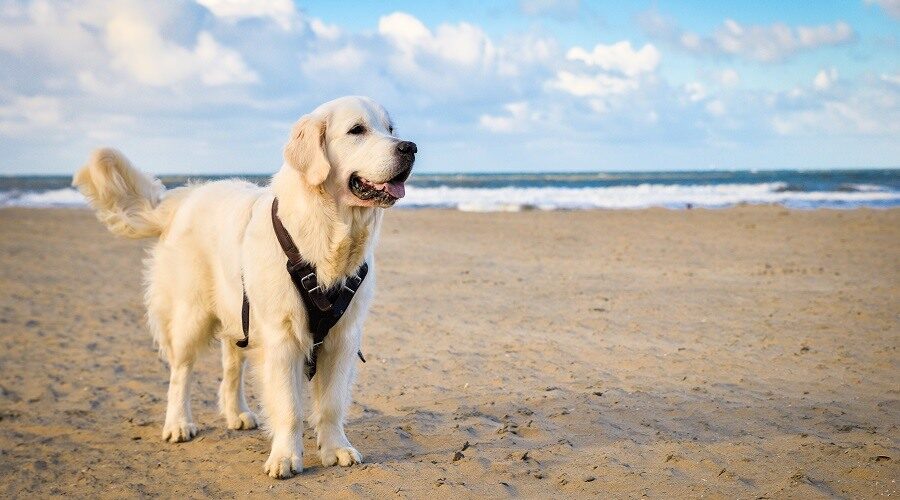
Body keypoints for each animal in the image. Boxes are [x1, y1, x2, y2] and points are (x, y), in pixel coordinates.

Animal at [72, 95, 416, 478]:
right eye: (357, 130)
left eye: (390, 128)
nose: (410, 147)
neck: (328, 232)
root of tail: (188, 195)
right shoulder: (282, 336)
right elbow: (289, 406)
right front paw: (285, 456)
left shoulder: (343, 336)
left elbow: (330, 403)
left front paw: (336, 448)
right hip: (192, 315)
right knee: (180, 372)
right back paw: (178, 424)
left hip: (240, 313)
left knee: (231, 366)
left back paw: (236, 413)